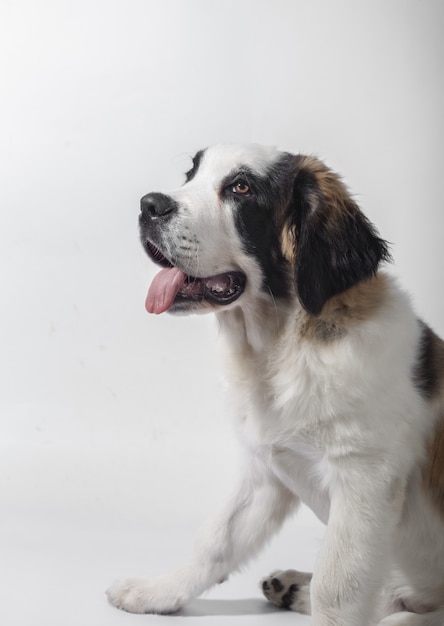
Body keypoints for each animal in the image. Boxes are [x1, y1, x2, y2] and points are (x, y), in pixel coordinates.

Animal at [108, 143, 444, 624]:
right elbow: (218, 538)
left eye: (241, 188)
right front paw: (160, 591)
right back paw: (290, 588)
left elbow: (337, 586)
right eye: (190, 174)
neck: (280, 345)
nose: (149, 205)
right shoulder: (264, 468)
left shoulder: (364, 479)